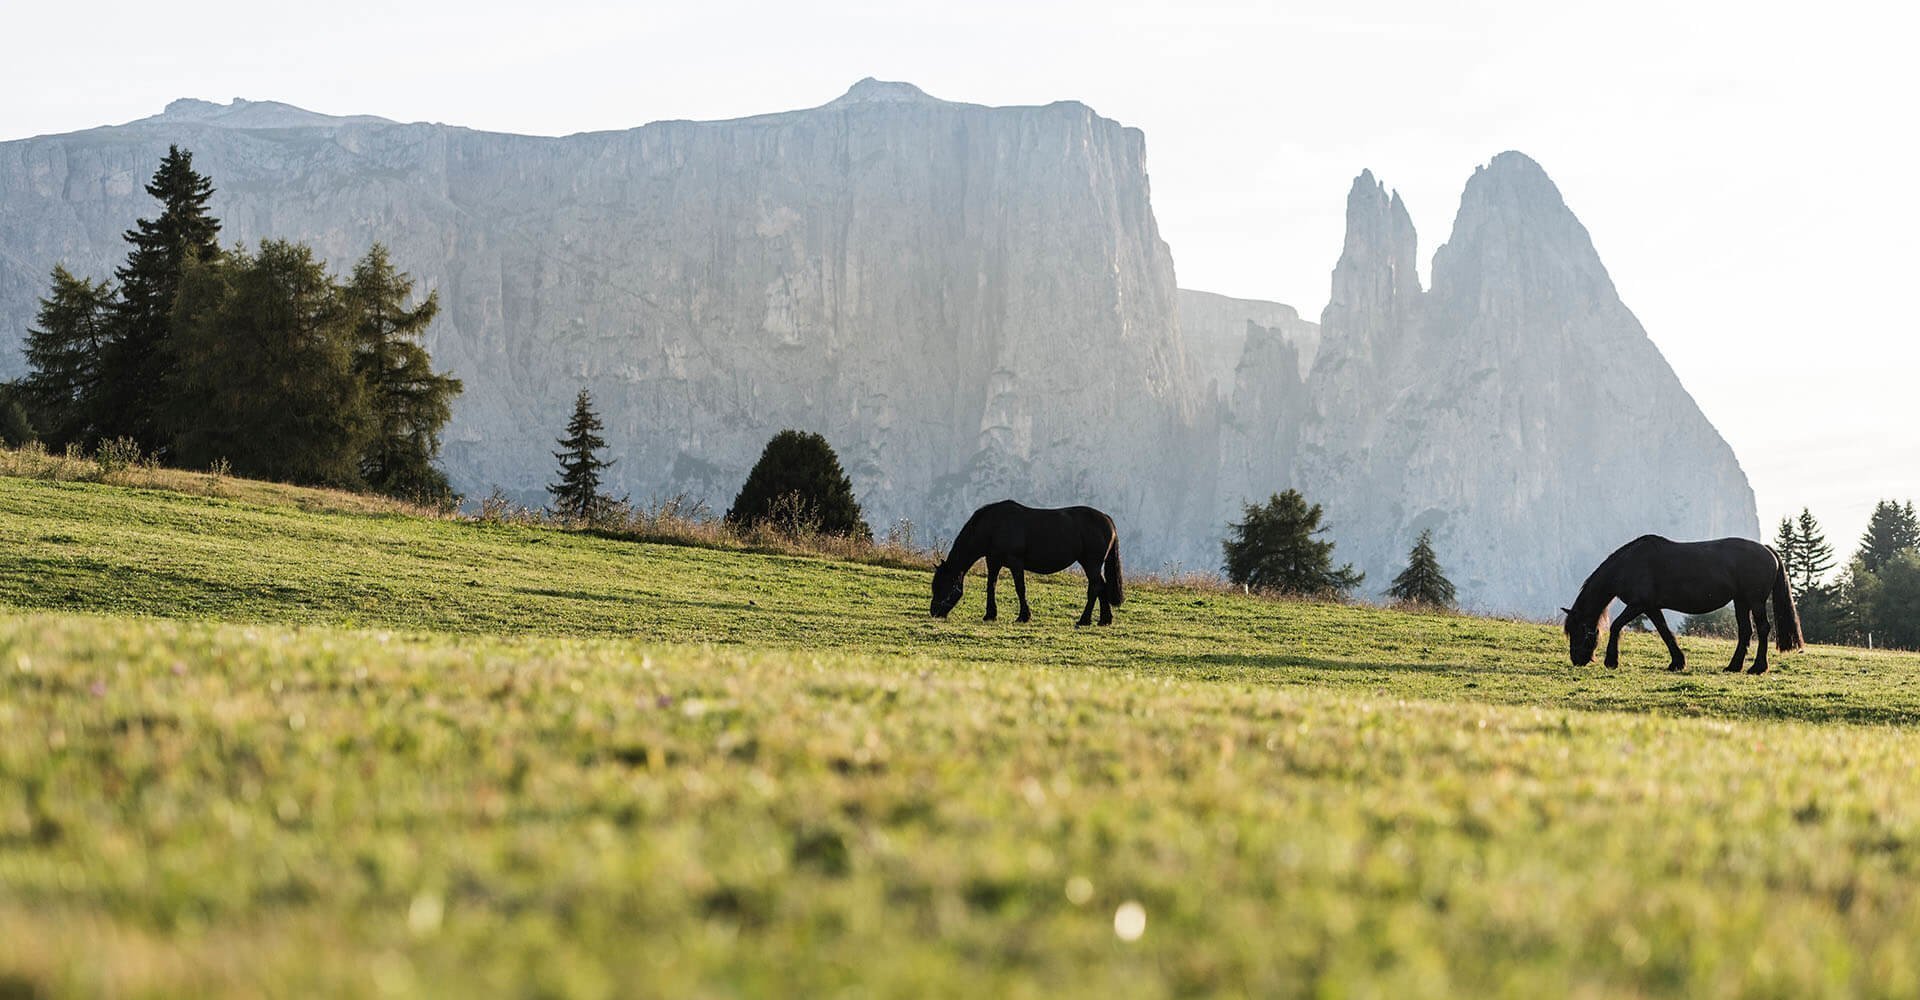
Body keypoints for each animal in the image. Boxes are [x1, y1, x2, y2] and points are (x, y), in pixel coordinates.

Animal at [929, 499, 1121, 621]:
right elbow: (991, 585)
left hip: (1091, 564)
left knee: (1095, 587)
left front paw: (1023, 616)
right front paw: (990, 614)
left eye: (943, 585)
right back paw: (1104, 619)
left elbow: (1020, 588)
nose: (934, 612)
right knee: (1101, 586)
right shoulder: (993, 562)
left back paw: (1084, 620)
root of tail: (1108, 520)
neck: (994, 526)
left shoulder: (1015, 563)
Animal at [1566, 533, 1804, 675]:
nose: (1577, 659)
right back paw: (1733, 666)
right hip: (1741, 601)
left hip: (1754, 601)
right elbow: (1665, 632)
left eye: (1577, 631)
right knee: (1745, 631)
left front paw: (1611, 661)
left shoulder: (1638, 605)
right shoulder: (1651, 607)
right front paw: (1677, 662)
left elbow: (1616, 625)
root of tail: (1767, 549)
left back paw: (1757, 667)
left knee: (1763, 629)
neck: (1628, 565)